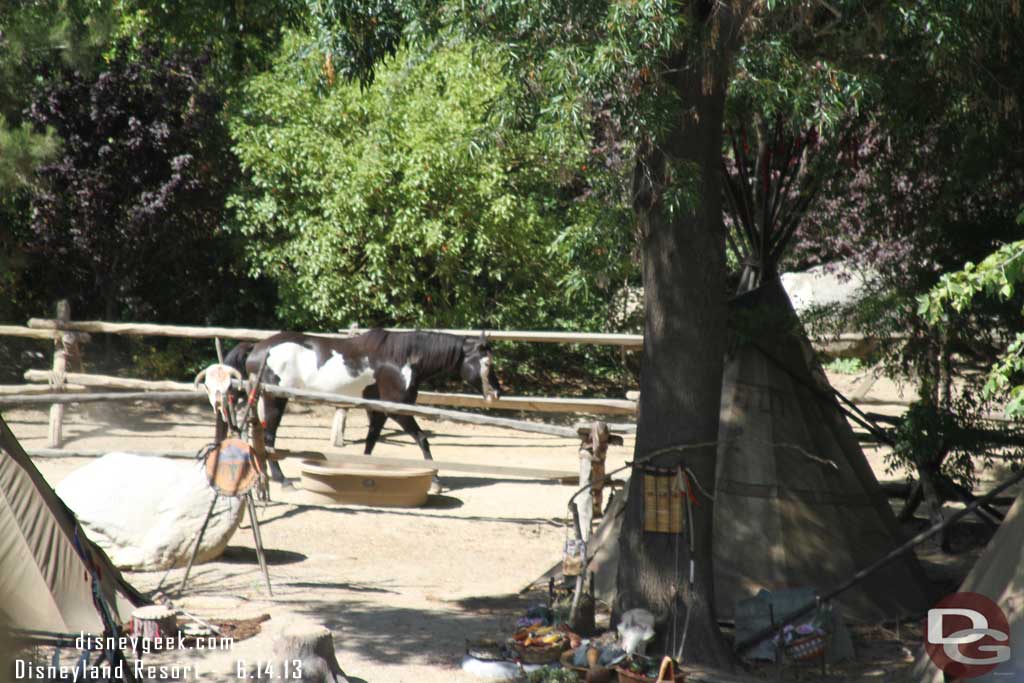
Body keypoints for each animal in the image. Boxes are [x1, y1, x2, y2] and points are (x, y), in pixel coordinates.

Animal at [224, 327, 499, 483]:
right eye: (486, 363)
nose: (495, 393)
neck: (401, 360)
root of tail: (257, 347)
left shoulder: (378, 410)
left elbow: (370, 442)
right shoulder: (397, 410)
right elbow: (422, 439)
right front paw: (436, 481)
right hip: (275, 399)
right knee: (269, 437)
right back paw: (282, 480)